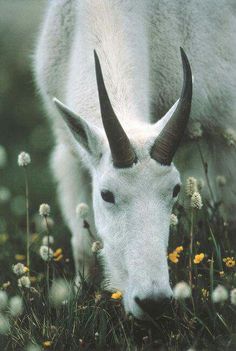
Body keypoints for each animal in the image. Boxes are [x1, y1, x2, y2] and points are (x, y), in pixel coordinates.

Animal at [34, 0, 236, 320]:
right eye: (106, 194)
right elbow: (82, 245)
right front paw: (78, 298)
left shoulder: (224, 126)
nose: (153, 301)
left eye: (175, 190)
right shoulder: (69, 151)